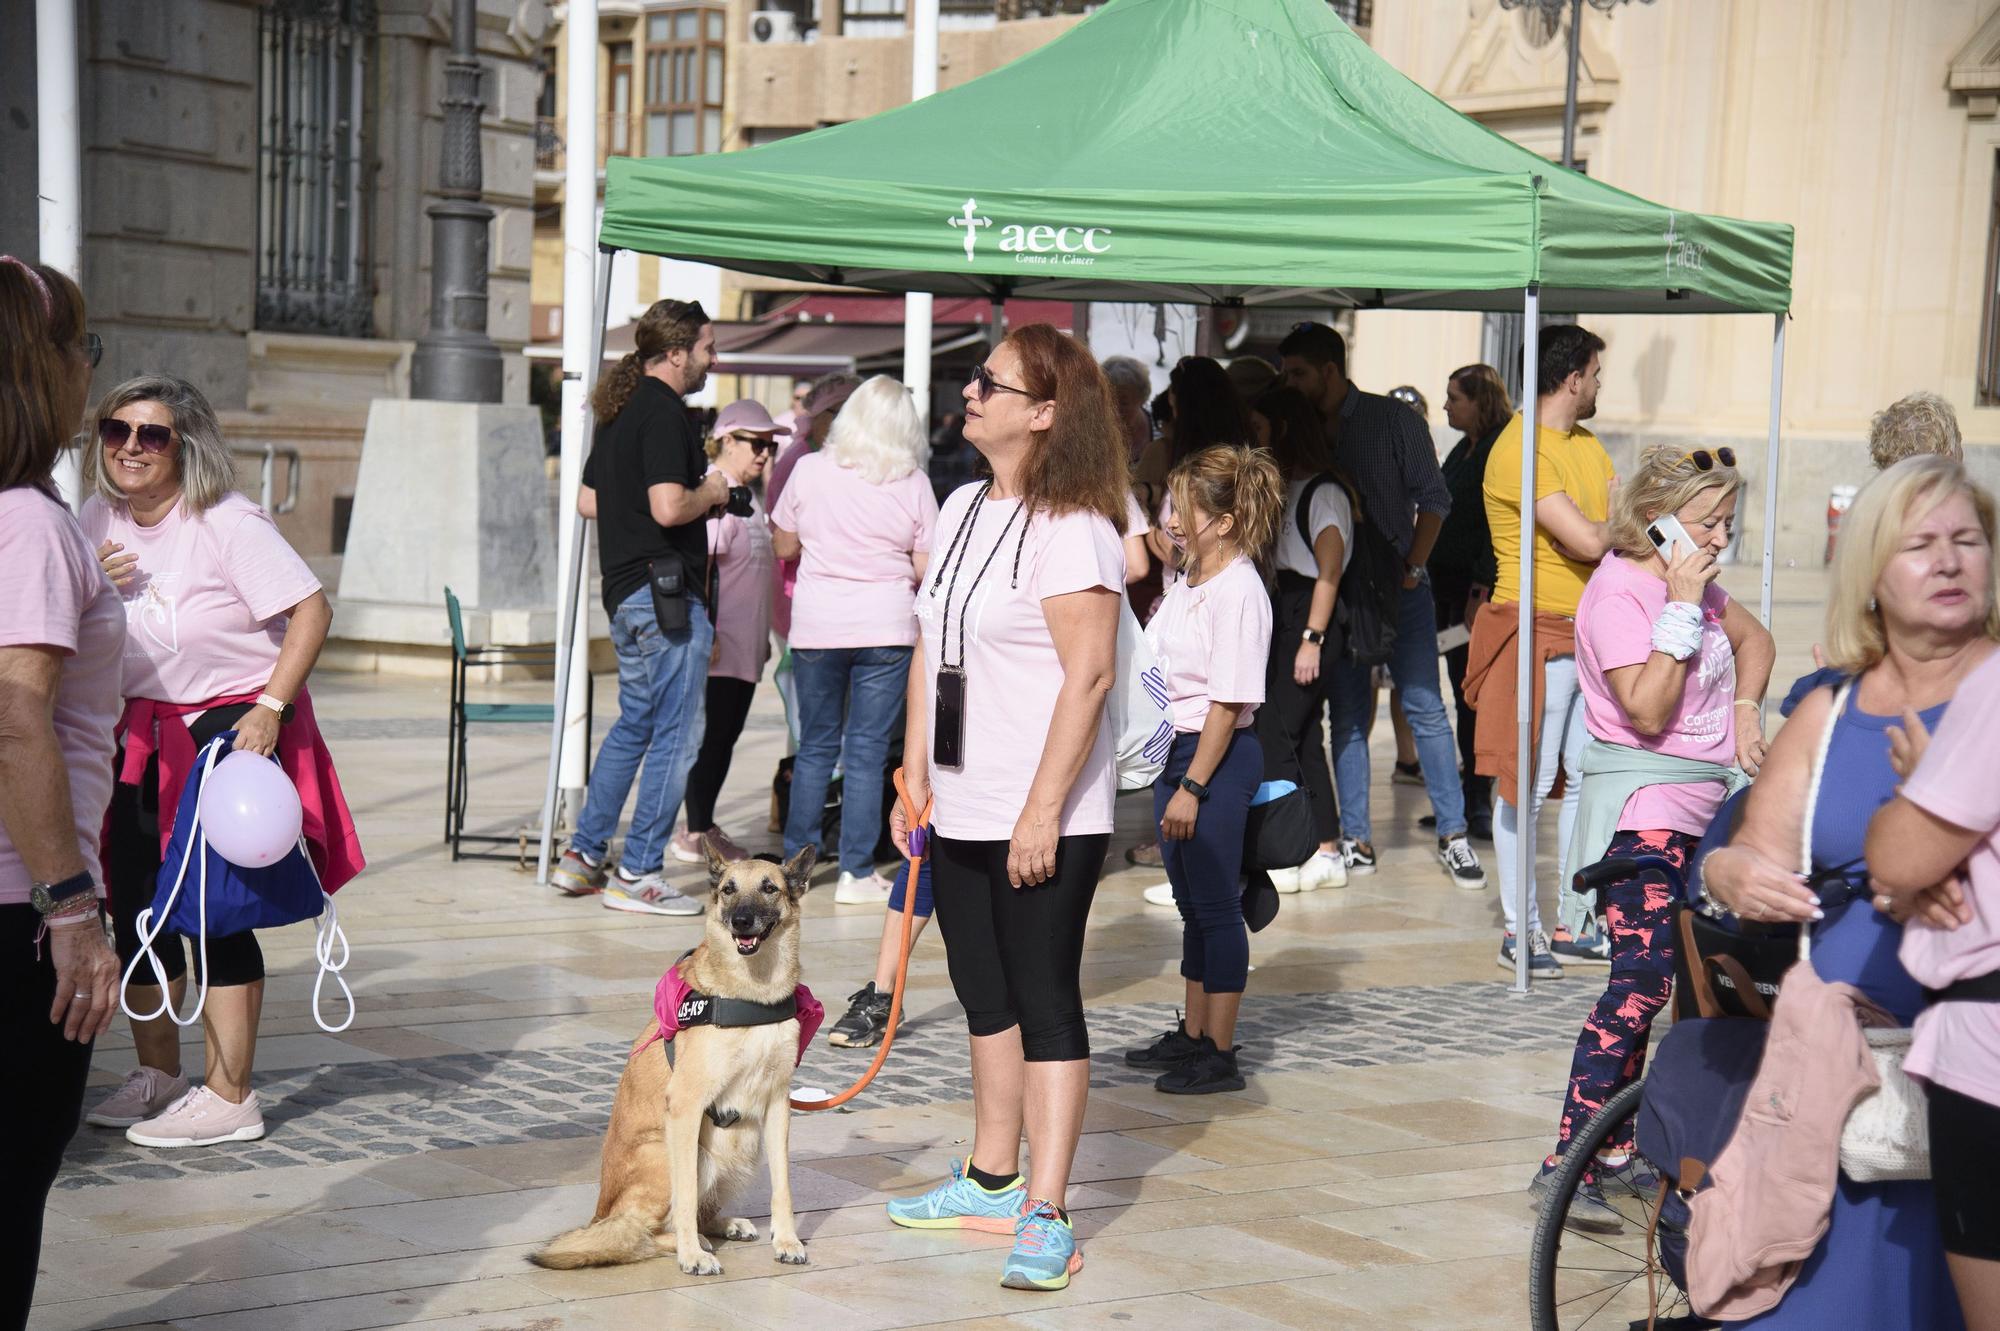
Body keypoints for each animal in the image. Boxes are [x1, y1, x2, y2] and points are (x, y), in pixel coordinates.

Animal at [532, 843, 820, 1271]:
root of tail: (600, 1216)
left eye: (769, 888)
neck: (752, 995)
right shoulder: (686, 1107)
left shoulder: (777, 1105)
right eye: (729, 889)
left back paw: (724, 1226)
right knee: (641, 1233)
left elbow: (782, 1186)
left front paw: (787, 1241)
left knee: (698, 1211)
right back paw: (692, 1242)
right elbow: (684, 1196)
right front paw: (691, 1255)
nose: (741, 922)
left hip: (744, 1146)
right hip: (674, 1151)